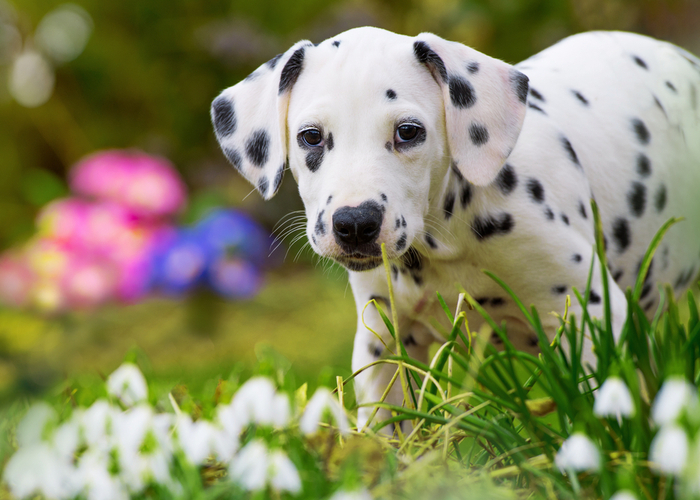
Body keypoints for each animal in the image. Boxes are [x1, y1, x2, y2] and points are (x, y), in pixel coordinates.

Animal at [211, 27, 700, 428]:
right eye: (311, 136)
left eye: (408, 132)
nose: (354, 223)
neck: (446, 239)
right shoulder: (383, 341)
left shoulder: (592, 317)